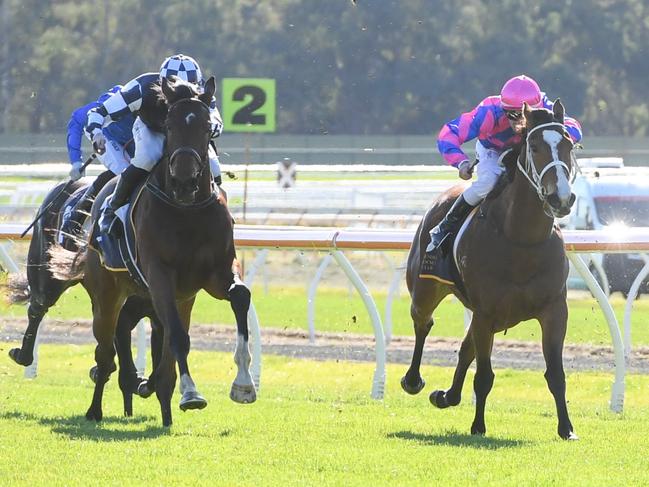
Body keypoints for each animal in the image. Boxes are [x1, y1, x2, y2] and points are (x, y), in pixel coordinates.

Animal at [50, 76, 256, 428]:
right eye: (170, 126)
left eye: (207, 127)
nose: (185, 180)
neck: (187, 210)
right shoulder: (159, 275)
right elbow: (177, 337)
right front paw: (192, 394)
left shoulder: (216, 272)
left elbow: (240, 297)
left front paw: (244, 385)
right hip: (107, 296)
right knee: (105, 354)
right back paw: (95, 409)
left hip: (175, 298)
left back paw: (163, 408)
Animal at [402, 101, 580, 440]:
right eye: (534, 147)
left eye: (568, 145)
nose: (561, 198)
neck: (521, 240)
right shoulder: (486, 311)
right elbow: (484, 375)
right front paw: (478, 426)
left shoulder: (555, 310)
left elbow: (556, 374)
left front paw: (567, 429)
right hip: (426, 289)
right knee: (423, 322)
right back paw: (413, 380)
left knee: (464, 348)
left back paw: (447, 395)